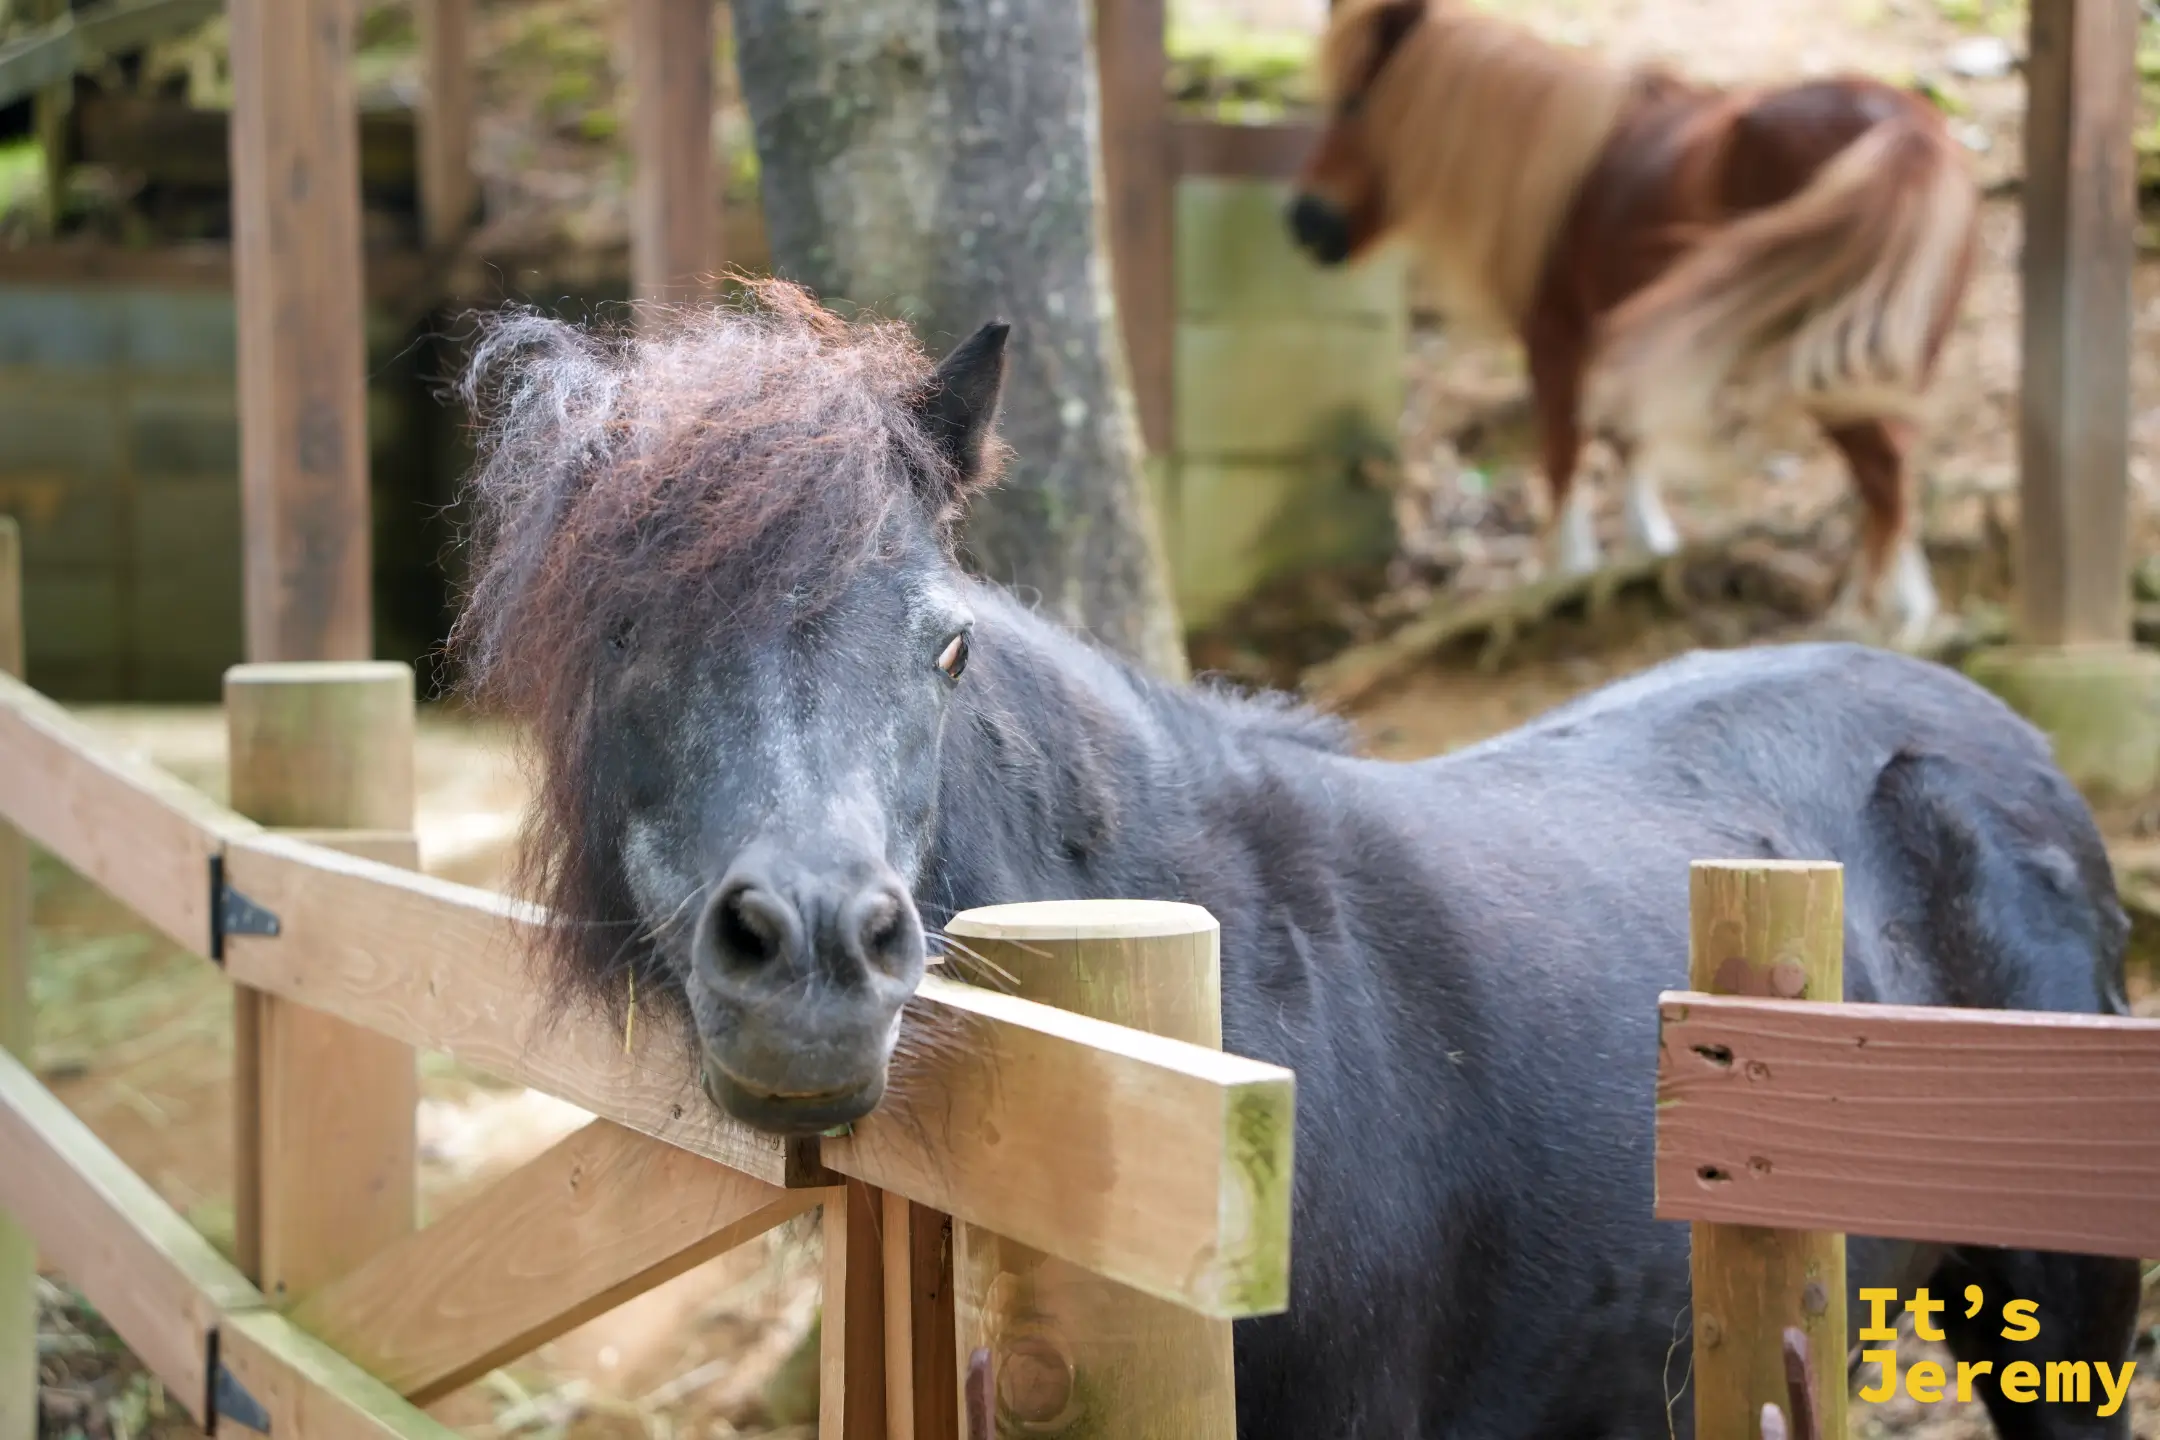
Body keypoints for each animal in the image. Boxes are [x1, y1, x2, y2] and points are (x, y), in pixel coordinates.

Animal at [1286, 0, 1981, 651]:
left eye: (1354, 104)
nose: (1304, 223)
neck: (1556, 173)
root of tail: (1908, 133)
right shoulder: (1618, 343)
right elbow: (1629, 442)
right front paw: (1645, 553)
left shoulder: (1555, 338)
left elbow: (1564, 454)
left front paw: (1563, 573)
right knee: (1896, 475)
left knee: (1883, 475)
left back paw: (1865, 620)